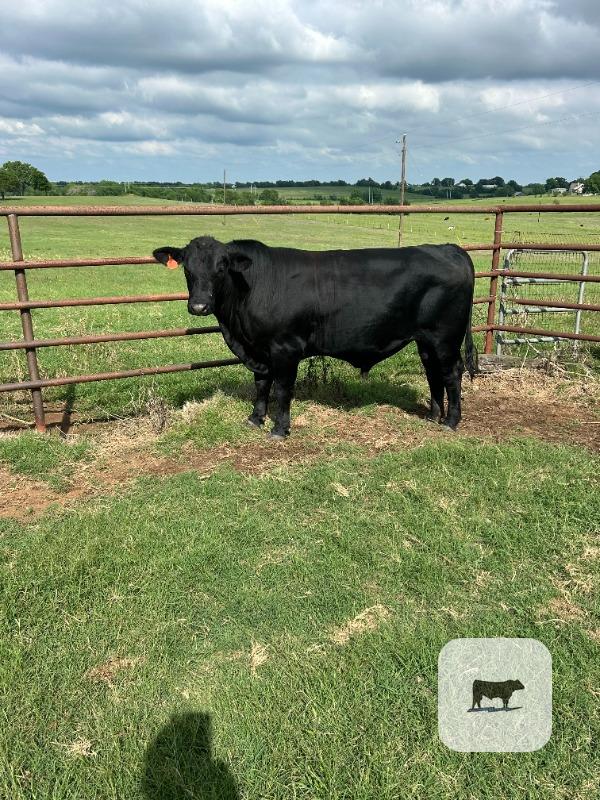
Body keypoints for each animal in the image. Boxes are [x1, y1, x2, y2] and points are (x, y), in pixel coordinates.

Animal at [153, 237, 478, 439]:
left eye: (221, 267)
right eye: (187, 268)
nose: (198, 306)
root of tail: (448, 248)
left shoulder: (285, 348)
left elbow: (283, 389)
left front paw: (279, 429)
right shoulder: (259, 351)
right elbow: (261, 385)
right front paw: (255, 419)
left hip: (445, 338)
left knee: (451, 374)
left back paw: (451, 421)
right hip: (426, 341)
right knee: (433, 373)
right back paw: (433, 416)